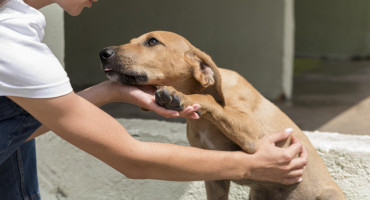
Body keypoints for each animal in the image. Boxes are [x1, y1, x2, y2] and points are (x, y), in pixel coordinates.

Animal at [99, 31, 346, 200]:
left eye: (152, 41)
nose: (103, 53)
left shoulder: (252, 134)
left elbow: (208, 101)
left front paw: (178, 97)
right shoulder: (214, 174)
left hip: (328, 195)